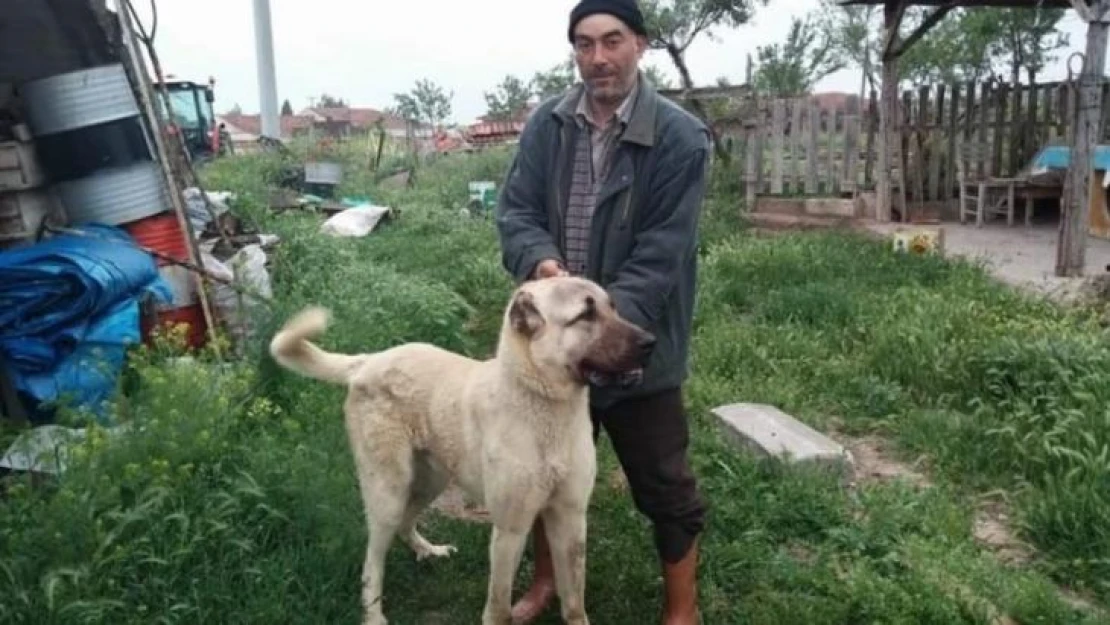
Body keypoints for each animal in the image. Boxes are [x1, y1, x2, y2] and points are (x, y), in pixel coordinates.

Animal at [268, 277, 652, 625]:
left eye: (612, 307)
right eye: (585, 315)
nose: (651, 342)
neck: (544, 404)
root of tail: (369, 360)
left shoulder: (570, 519)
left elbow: (574, 602)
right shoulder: (510, 530)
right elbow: (499, 607)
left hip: (430, 481)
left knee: (407, 523)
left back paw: (428, 550)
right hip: (388, 493)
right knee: (372, 560)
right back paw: (374, 614)